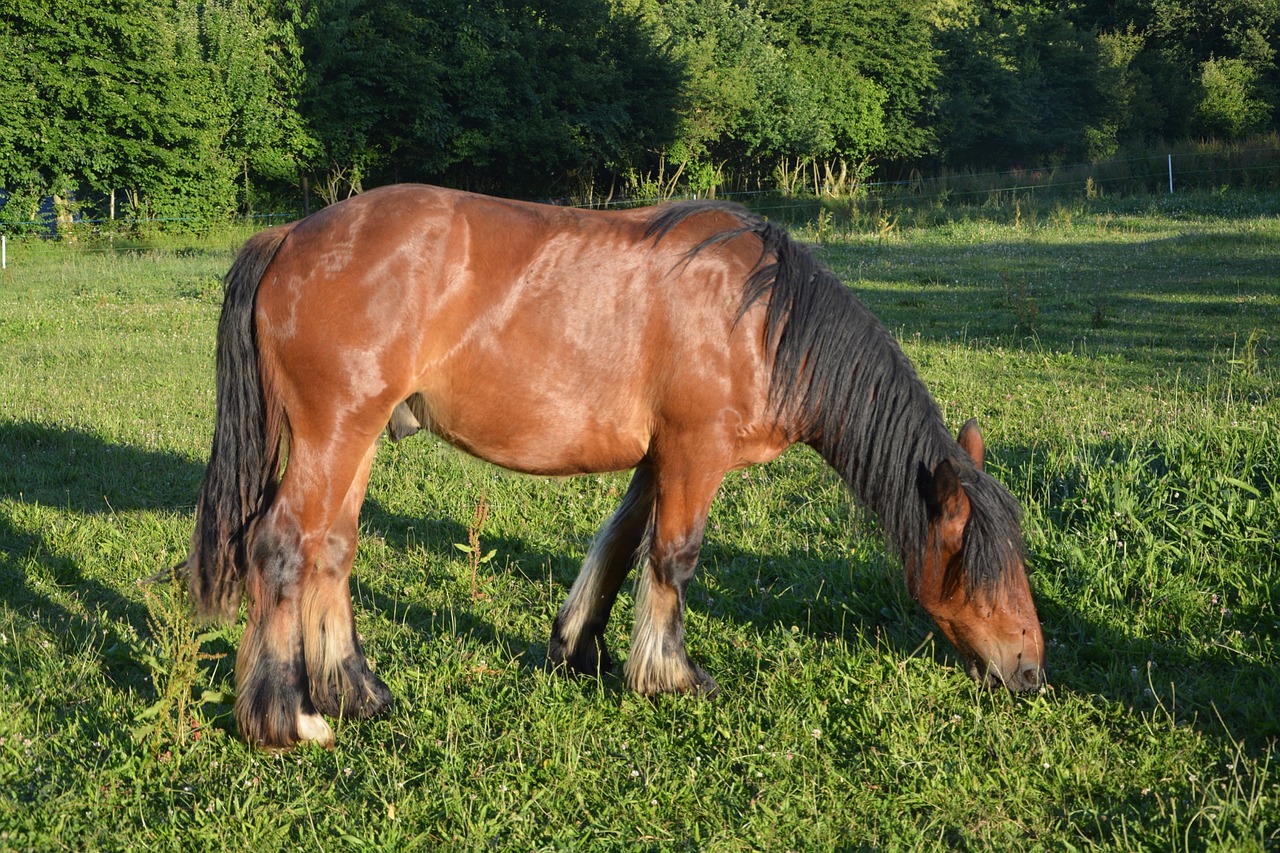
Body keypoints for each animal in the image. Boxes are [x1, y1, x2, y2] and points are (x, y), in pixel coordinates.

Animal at [185, 184, 1044, 742]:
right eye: (977, 566)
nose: (1032, 670)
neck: (763, 319)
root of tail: (290, 236)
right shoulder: (696, 454)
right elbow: (674, 557)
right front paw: (671, 674)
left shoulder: (658, 459)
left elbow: (622, 543)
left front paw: (579, 647)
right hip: (335, 435)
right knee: (282, 547)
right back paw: (286, 717)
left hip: (355, 440)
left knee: (332, 550)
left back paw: (356, 691)